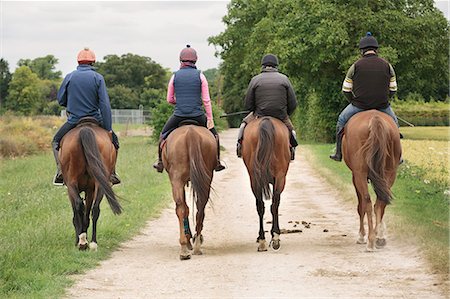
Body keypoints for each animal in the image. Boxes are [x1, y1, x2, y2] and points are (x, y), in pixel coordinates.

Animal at [59, 119, 121, 251]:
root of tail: (85, 129)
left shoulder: (75, 190)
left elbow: (77, 214)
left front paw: (78, 239)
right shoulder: (89, 189)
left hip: (73, 183)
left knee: (80, 205)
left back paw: (83, 241)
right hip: (99, 184)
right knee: (95, 209)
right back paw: (92, 242)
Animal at [162, 124, 218, 260]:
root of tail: (191, 133)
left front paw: (188, 240)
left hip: (177, 180)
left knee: (182, 208)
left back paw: (185, 247)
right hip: (205, 178)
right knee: (199, 207)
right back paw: (195, 244)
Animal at [243, 117, 292, 253]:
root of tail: (266, 120)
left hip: (255, 179)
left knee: (262, 206)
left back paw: (263, 240)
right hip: (280, 178)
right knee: (274, 205)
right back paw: (274, 237)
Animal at [342, 109, 402, 251]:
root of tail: (375, 119)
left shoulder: (355, 176)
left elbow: (360, 206)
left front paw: (361, 236)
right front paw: (379, 235)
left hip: (360, 174)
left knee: (367, 202)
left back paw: (369, 241)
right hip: (390, 173)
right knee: (380, 202)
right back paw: (379, 238)